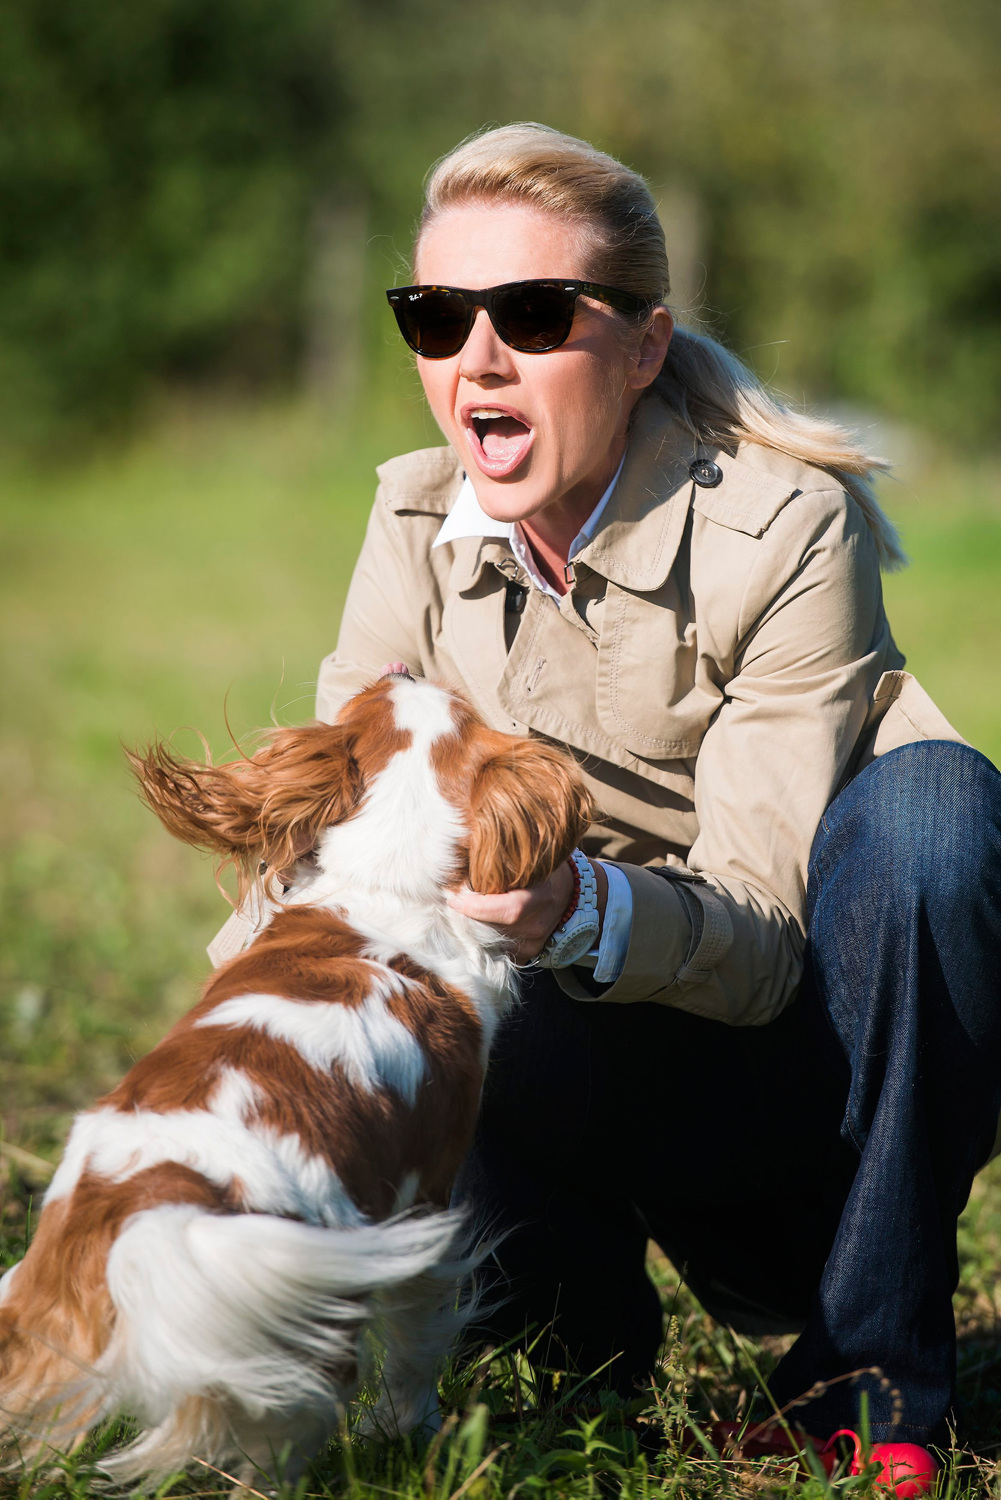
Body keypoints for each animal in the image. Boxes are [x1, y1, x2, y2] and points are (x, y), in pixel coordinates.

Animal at [0, 670, 592, 1482]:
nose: (403, 669)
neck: (382, 884)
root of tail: (155, 1194)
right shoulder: (429, 1203)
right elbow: (417, 1348)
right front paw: (410, 1431)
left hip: (44, 1306)